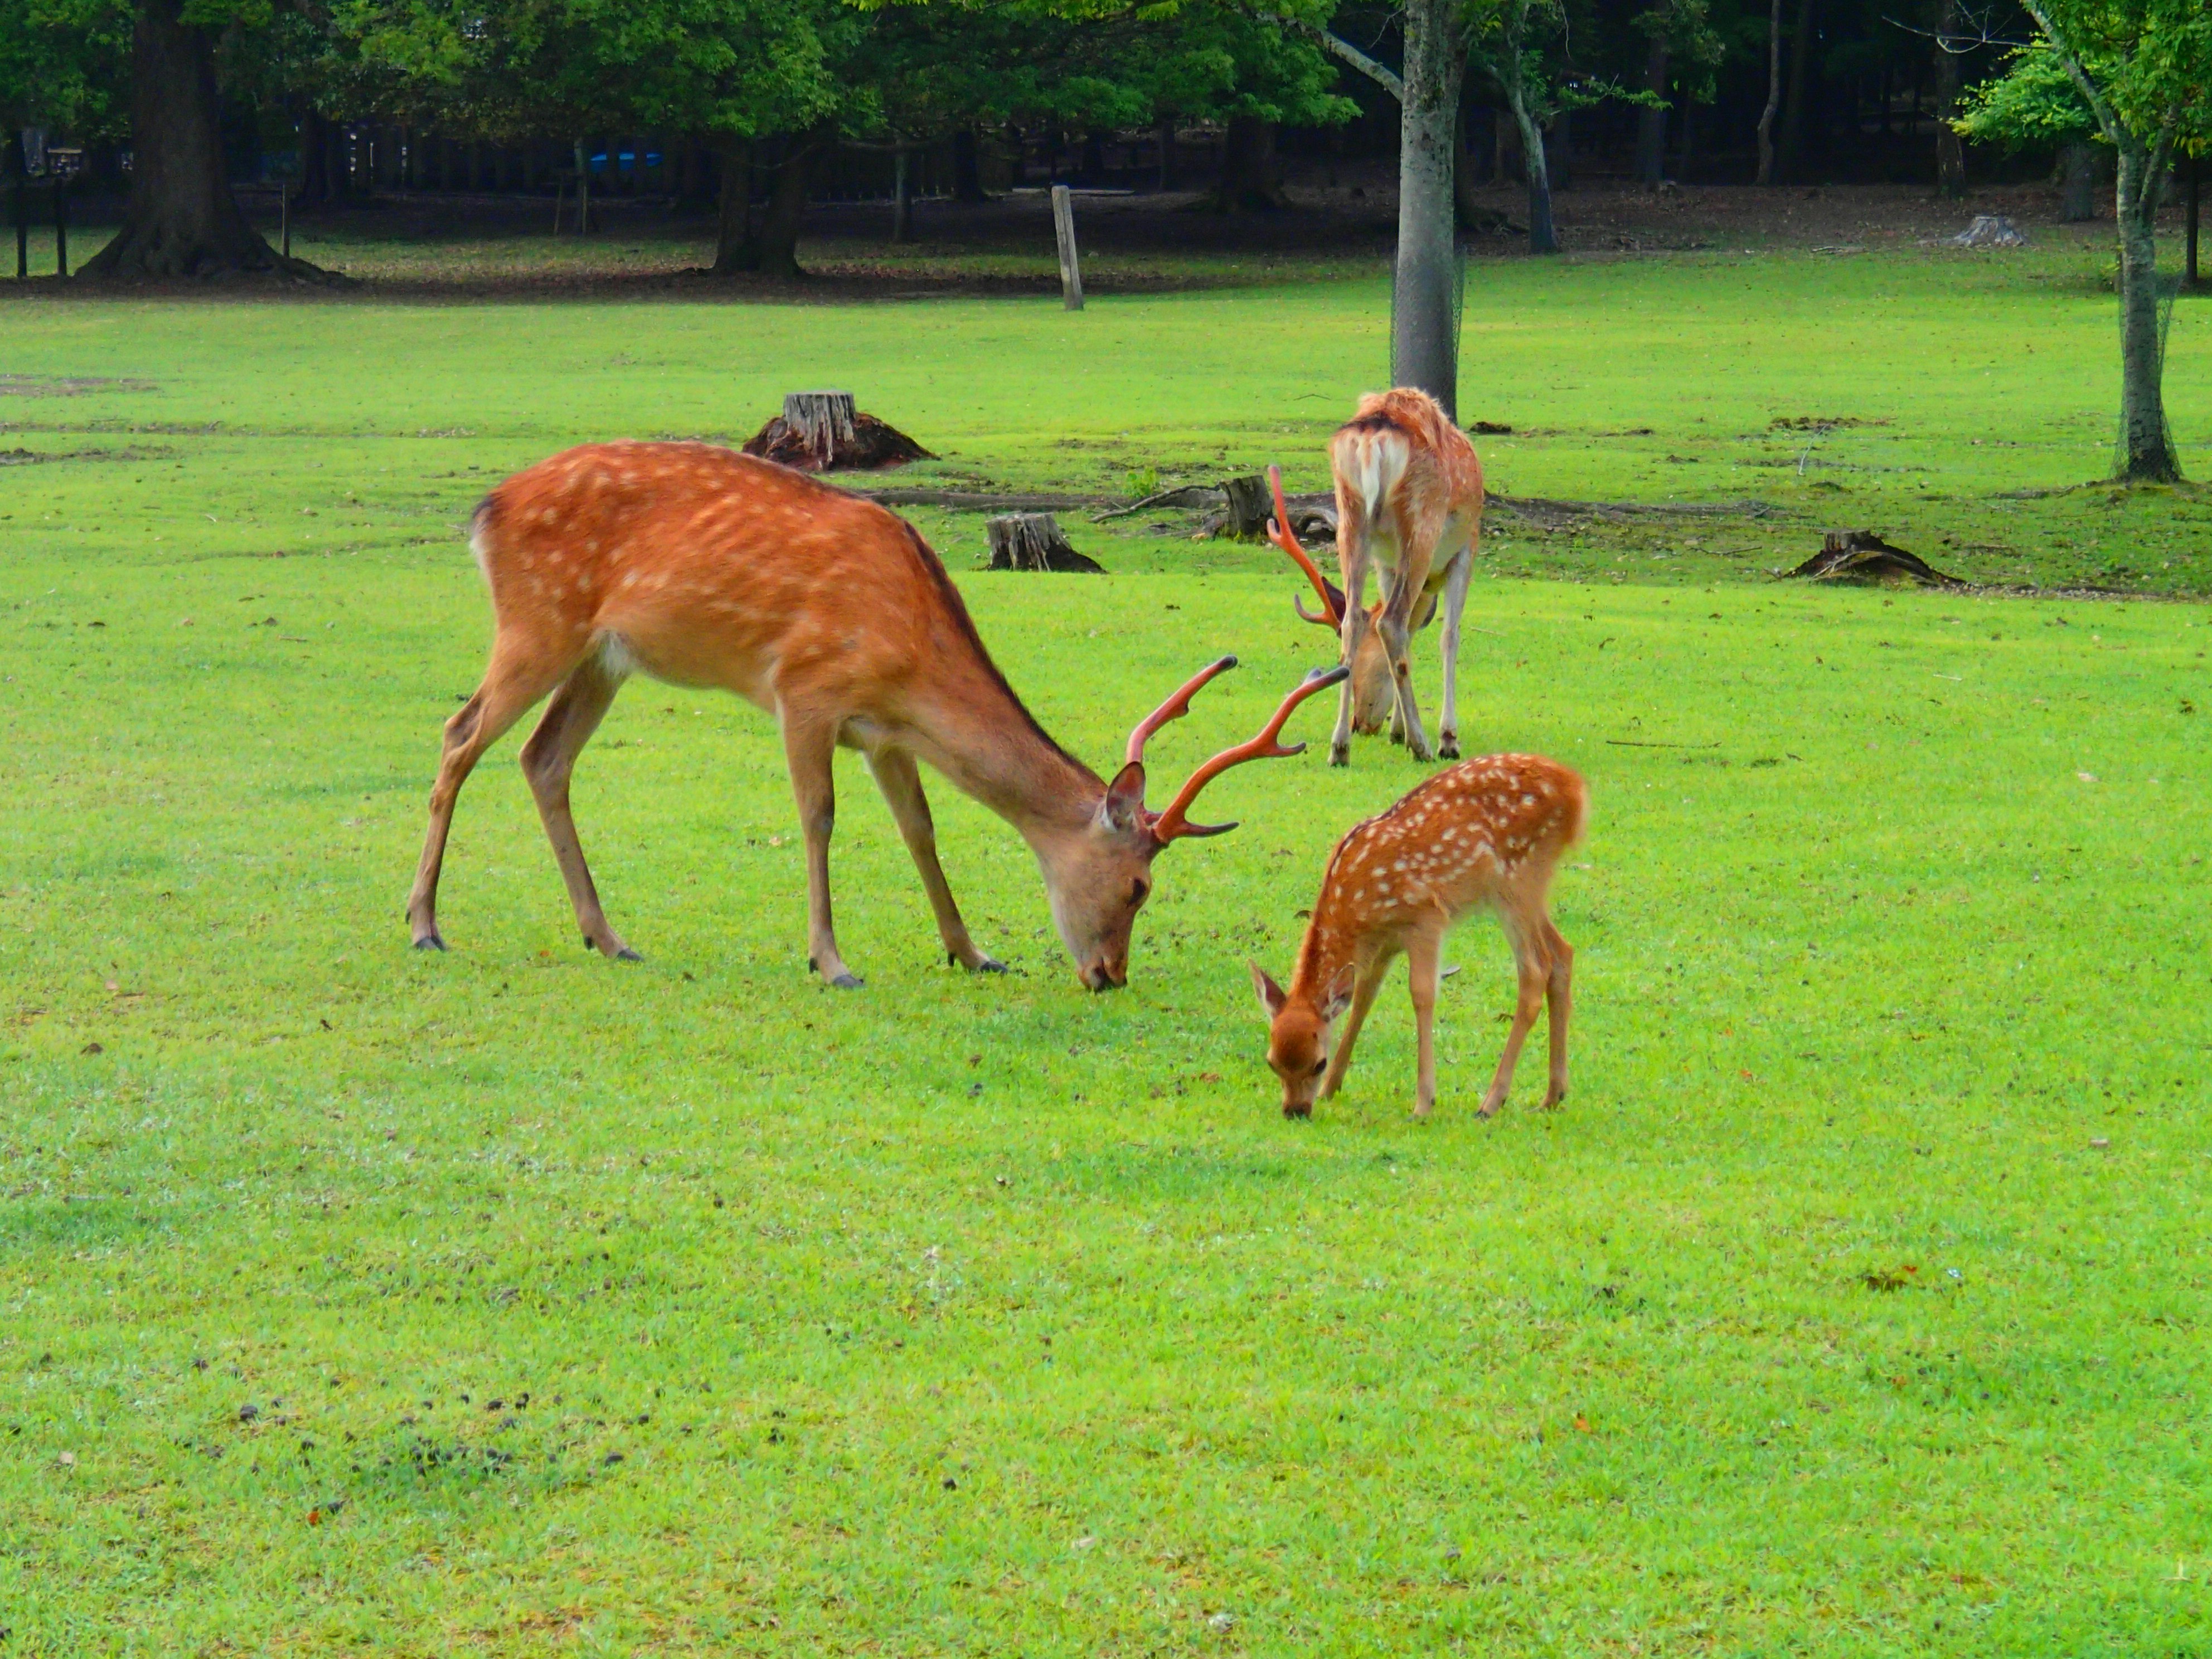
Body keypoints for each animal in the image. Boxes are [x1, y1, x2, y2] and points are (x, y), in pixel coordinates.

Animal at [404, 441, 1348, 993]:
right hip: (538, 622)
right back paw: (425, 926)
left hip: (603, 657)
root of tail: (484, 513)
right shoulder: (805, 689)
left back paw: (608, 937)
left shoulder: (884, 731)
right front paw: (831, 961)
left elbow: (920, 829)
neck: (910, 652)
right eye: (1139, 886)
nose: (1109, 975)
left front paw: (972, 950)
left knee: (543, 758)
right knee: (459, 736)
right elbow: (818, 818)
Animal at [1250, 753, 1584, 1120]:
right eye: (1271, 1063)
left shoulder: (1425, 918)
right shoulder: (1385, 942)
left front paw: (1424, 1102)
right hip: (1530, 889)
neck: (1356, 908)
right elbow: (1364, 997)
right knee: (1563, 953)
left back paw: (1491, 1102)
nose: (1295, 1111)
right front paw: (1331, 1089)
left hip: (1517, 880)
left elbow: (1422, 994)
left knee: (1536, 969)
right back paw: (1554, 1094)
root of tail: (1575, 790)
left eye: (1318, 1063)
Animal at [1265, 387, 1485, 768]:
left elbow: (1410, 635)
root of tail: (1372, 439)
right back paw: (1423, 745)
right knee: (1391, 623)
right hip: (1421, 524)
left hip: (1351, 517)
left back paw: (1339, 748)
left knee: (1355, 620)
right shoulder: (1466, 548)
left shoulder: (1386, 563)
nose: (1363, 723)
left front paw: (1397, 732)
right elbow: (1449, 637)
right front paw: (1447, 738)